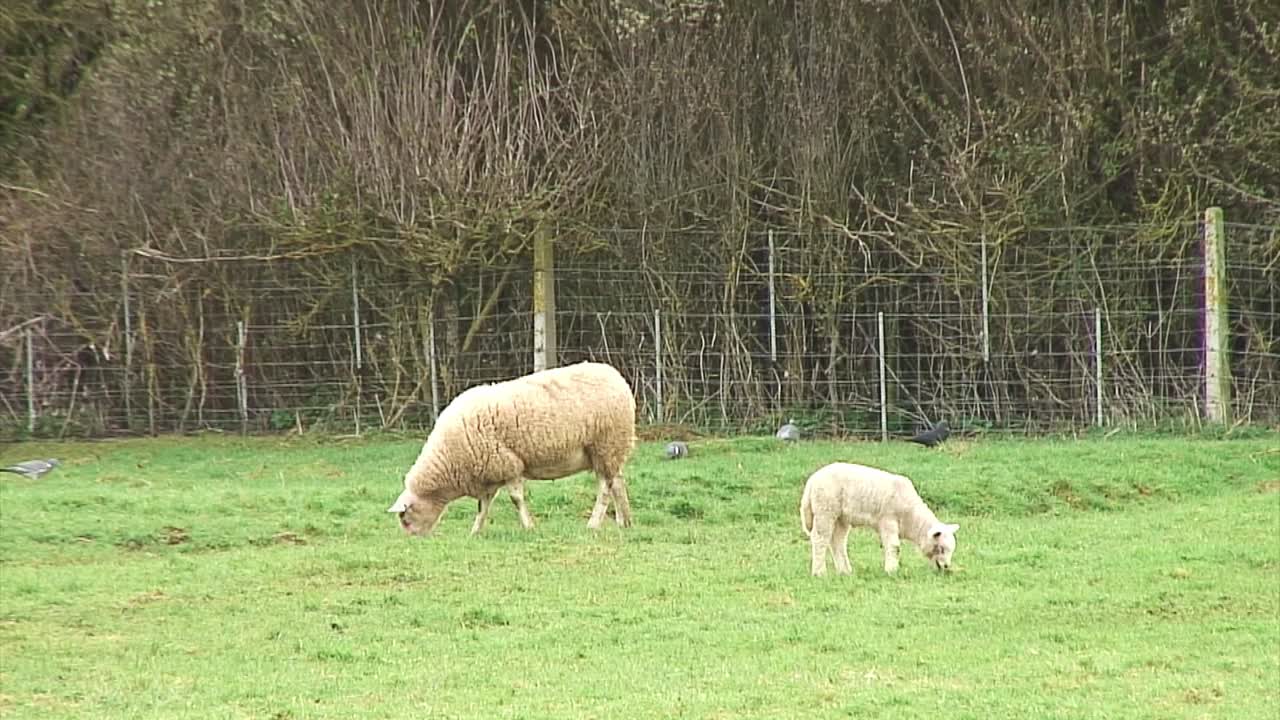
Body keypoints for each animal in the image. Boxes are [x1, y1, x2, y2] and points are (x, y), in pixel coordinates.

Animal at [387, 361, 637, 536]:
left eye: (404, 518)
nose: (414, 538)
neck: (449, 460)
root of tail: (618, 378)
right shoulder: (490, 473)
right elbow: (483, 506)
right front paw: (475, 531)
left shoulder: (509, 465)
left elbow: (516, 499)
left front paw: (528, 526)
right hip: (611, 449)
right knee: (617, 482)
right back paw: (624, 521)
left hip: (606, 444)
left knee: (605, 488)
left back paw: (593, 524)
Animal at [799, 462, 959, 576]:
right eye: (941, 548)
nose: (946, 567)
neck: (912, 519)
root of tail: (811, 481)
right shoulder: (888, 520)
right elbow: (894, 546)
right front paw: (892, 571)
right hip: (825, 509)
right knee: (820, 539)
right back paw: (819, 573)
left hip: (841, 517)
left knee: (837, 542)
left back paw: (845, 571)